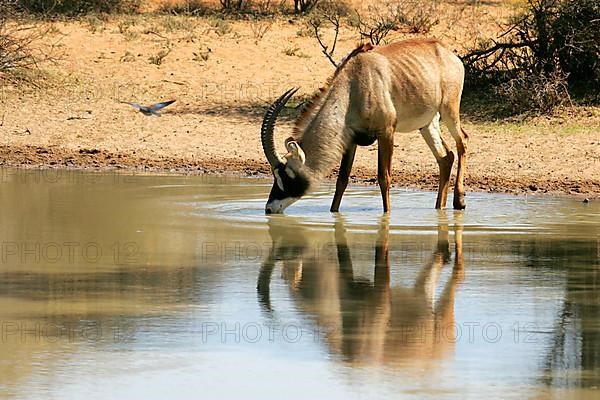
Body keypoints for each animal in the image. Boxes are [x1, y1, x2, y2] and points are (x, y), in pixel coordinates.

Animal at [262, 39, 468, 214]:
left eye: (285, 174)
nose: (269, 208)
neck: (352, 86)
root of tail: (448, 53)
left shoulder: (386, 133)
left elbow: (384, 177)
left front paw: (387, 215)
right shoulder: (351, 140)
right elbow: (342, 180)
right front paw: (334, 213)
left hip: (449, 110)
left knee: (462, 141)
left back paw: (459, 202)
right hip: (427, 124)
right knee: (446, 157)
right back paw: (439, 207)